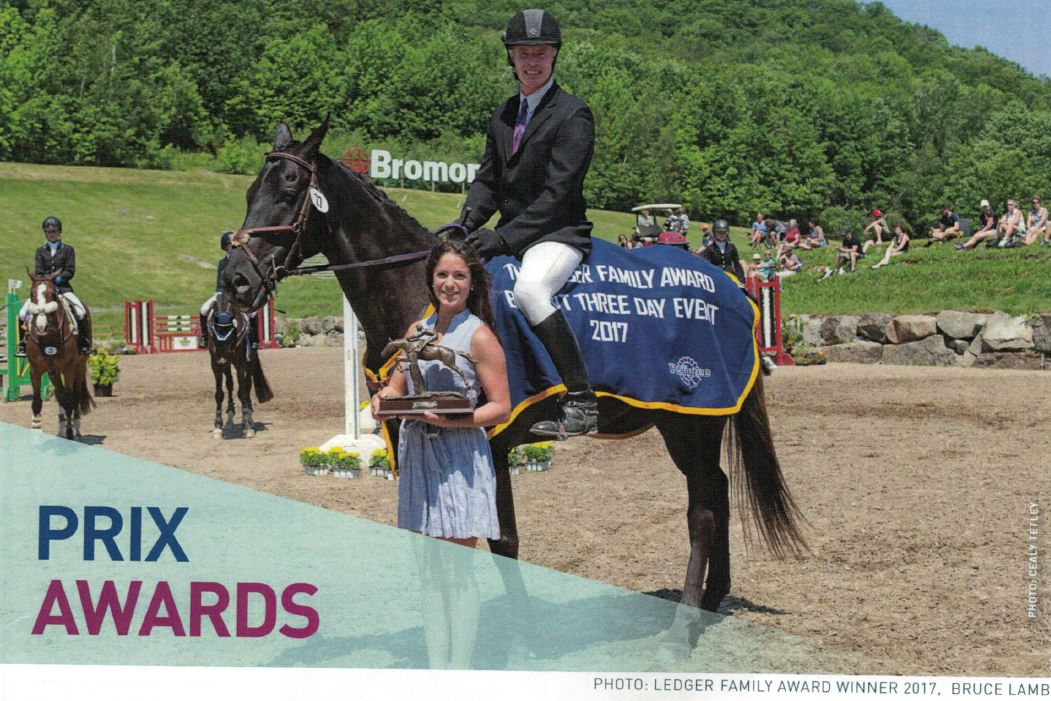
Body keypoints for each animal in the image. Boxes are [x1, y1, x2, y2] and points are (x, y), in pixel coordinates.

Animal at [23, 271, 93, 439]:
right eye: (32, 294)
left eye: (53, 294)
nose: (41, 327)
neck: (48, 337)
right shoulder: (35, 369)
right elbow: (37, 403)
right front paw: (36, 432)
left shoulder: (69, 369)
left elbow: (69, 400)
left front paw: (70, 432)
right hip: (53, 372)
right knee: (60, 395)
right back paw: (61, 430)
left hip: (79, 367)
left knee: (74, 395)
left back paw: (76, 429)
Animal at [202, 292, 273, 439]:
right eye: (214, 332)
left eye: (231, 332)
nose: (222, 358)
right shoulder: (215, 364)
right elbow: (219, 393)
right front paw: (218, 427)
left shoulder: (240, 363)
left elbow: (243, 391)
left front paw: (247, 427)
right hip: (228, 365)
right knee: (230, 384)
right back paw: (230, 418)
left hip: (248, 361)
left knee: (247, 385)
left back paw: (249, 418)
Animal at [221, 119, 802, 643]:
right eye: (249, 192)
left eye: (288, 191)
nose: (235, 280)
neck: (423, 292)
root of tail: (732, 288)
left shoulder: (490, 441)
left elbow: (503, 541)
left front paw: (518, 634)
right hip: (692, 422)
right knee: (718, 493)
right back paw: (709, 601)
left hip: (691, 421)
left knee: (703, 509)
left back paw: (681, 629)